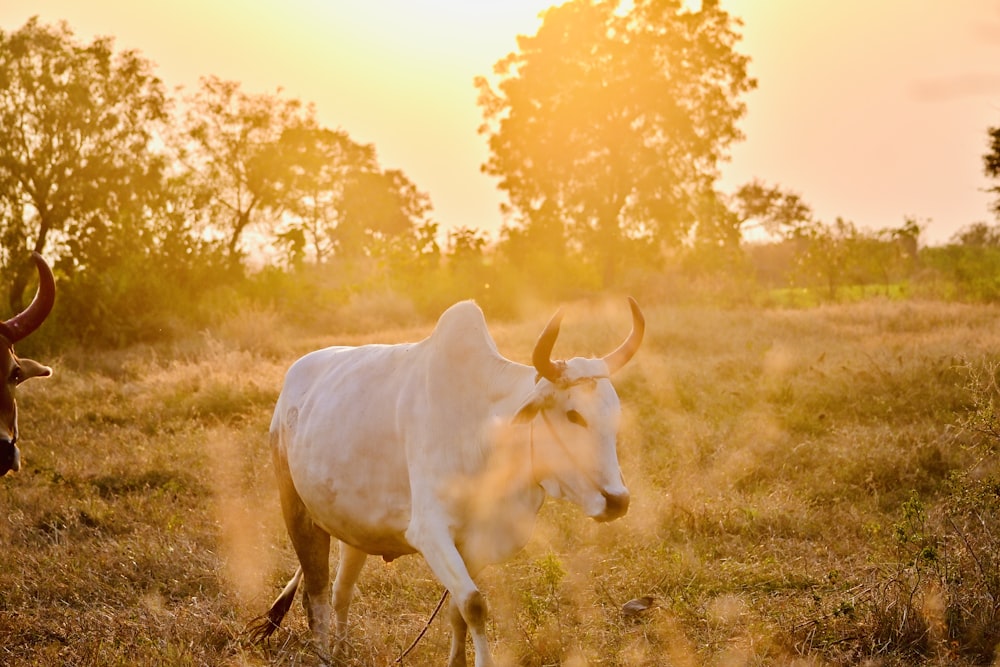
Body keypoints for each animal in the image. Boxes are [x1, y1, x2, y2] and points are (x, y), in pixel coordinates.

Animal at [254, 300, 644, 664]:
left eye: (615, 411)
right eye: (573, 414)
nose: (618, 500)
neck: (484, 431)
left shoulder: (475, 542)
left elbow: (458, 609)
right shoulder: (430, 533)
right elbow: (474, 604)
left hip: (353, 528)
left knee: (340, 591)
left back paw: (340, 650)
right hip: (298, 512)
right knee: (317, 592)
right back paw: (324, 653)